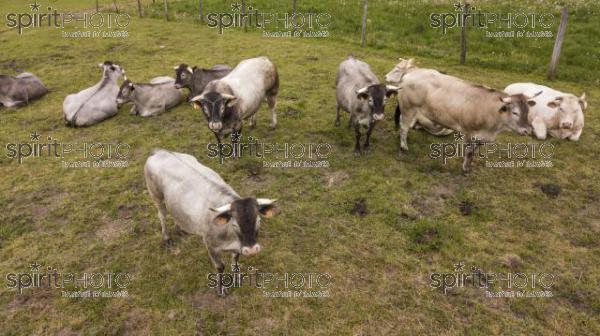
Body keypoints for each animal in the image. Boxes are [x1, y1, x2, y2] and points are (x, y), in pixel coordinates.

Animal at [144, 148, 278, 296]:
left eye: (259, 220)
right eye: (234, 224)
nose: (252, 250)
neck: (230, 236)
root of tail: (160, 152)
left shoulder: (238, 246)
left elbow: (235, 260)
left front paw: (237, 279)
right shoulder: (210, 245)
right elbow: (220, 267)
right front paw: (221, 289)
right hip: (156, 195)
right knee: (162, 215)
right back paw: (167, 238)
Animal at [392, 57, 540, 172]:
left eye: (528, 111)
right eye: (515, 112)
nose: (526, 130)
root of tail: (411, 73)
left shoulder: (482, 137)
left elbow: (473, 152)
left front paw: (468, 167)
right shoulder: (469, 131)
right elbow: (468, 151)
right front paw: (464, 168)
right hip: (408, 107)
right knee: (404, 126)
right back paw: (404, 146)